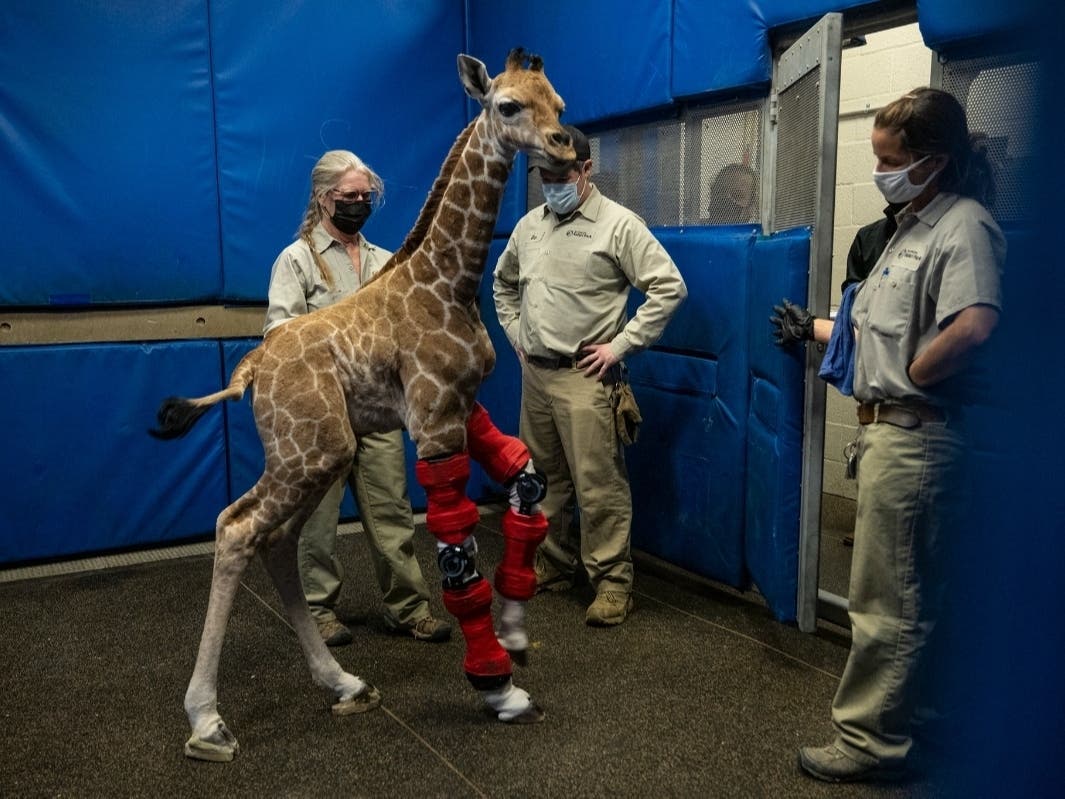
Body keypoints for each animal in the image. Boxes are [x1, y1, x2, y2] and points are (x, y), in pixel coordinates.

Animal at [149, 49, 574, 762]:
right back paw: (207, 722)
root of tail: (251, 371)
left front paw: (516, 632)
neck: (448, 283)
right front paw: (499, 688)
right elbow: (458, 557)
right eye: (509, 105)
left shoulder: (462, 406)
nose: (569, 146)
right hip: (311, 450)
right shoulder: (434, 421)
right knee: (237, 527)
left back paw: (343, 683)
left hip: (320, 456)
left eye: (560, 104)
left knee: (276, 540)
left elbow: (527, 481)